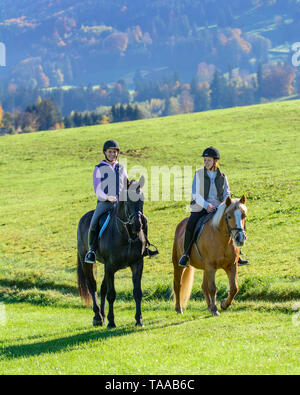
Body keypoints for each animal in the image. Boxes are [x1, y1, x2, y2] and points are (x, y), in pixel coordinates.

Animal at [77, 176, 147, 328]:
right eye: (127, 200)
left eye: (142, 199)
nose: (137, 226)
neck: (126, 235)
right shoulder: (110, 267)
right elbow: (111, 294)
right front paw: (112, 322)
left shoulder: (137, 264)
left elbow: (137, 292)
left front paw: (139, 319)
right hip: (87, 262)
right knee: (92, 286)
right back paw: (97, 317)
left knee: (102, 288)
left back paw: (102, 316)